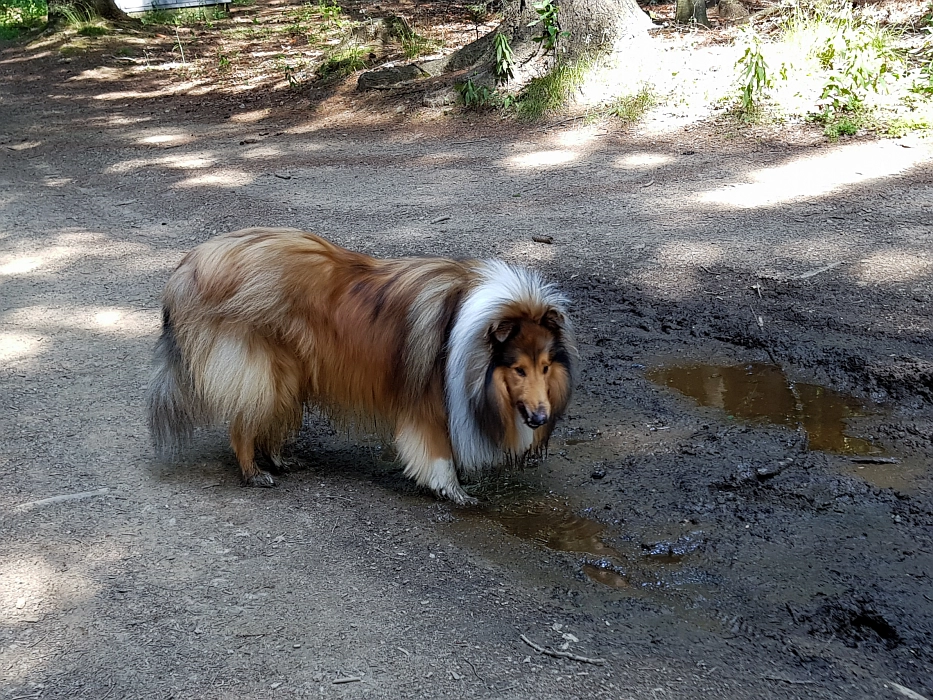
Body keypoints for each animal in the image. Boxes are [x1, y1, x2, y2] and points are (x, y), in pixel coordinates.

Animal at [146, 228, 572, 504]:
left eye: (545, 366)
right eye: (518, 369)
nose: (539, 417)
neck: (468, 338)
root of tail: (190, 263)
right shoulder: (428, 402)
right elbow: (437, 453)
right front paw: (454, 490)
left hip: (289, 373)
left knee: (268, 418)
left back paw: (281, 461)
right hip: (263, 369)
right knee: (244, 421)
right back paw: (254, 473)